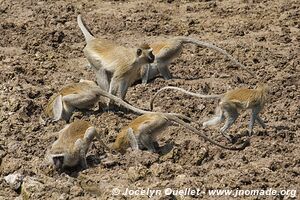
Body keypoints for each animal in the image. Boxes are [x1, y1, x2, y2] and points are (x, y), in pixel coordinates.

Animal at [111, 112, 250, 153]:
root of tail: (161, 114)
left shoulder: (126, 136)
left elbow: (131, 133)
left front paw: (135, 152)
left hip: (157, 122)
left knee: (142, 132)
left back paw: (151, 151)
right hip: (161, 124)